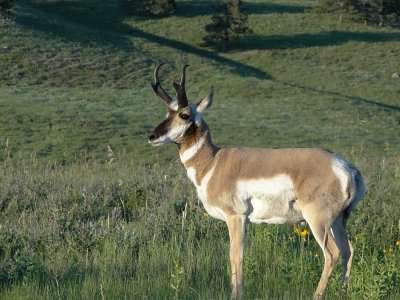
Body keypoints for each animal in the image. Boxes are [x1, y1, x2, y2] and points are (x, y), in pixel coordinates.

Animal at [148, 64, 366, 298]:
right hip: (338, 220)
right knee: (348, 250)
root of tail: (346, 167)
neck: (213, 163)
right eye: (167, 113)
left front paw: (236, 294)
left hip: (318, 220)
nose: (152, 136)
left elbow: (236, 256)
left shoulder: (236, 217)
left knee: (332, 253)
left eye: (184, 114)